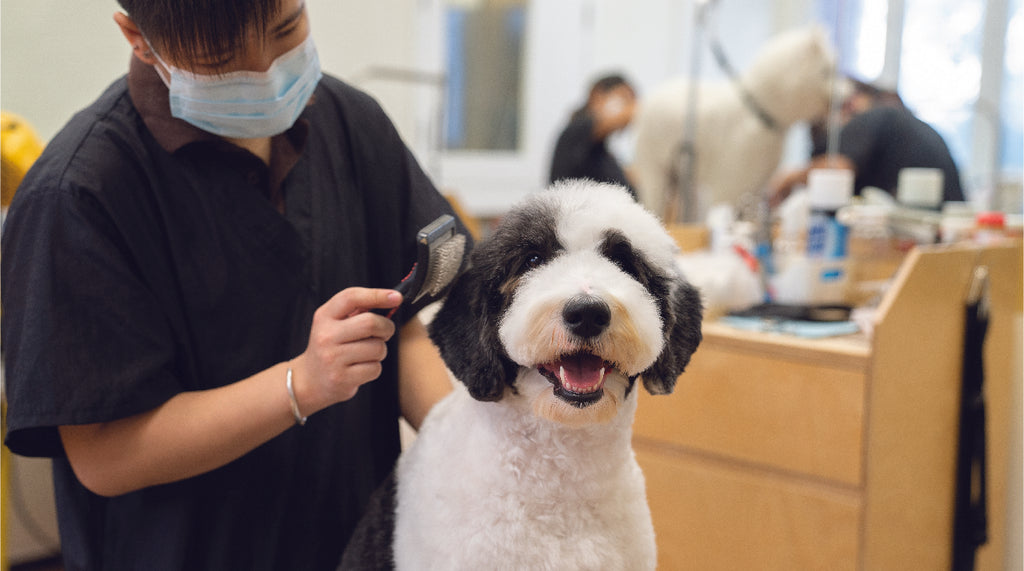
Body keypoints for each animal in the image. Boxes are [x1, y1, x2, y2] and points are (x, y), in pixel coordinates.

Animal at [630, 26, 839, 222]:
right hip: (656, 169)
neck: (759, 109)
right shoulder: (730, 182)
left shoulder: (755, 185)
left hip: (685, 175)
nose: (845, 94)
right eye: (827, 71)